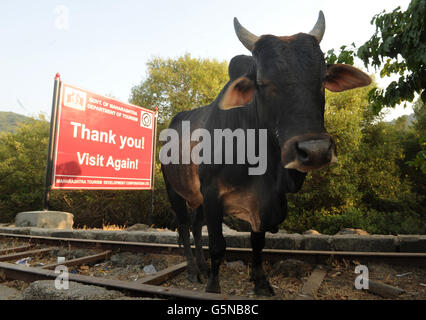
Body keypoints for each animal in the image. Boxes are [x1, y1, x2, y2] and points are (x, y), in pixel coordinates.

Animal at [161, 12, 372, 298]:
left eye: (322, 80)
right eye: (263, 83)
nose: (315, 151)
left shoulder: (263, 201)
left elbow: (258, 244)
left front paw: (261, 282)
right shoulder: (213, 193)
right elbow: (218, 244)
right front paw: (214, 286)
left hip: (197, 197)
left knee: (195, 226)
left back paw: (202, 266)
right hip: (174, 190)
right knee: (184, 228)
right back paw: (195, 271)